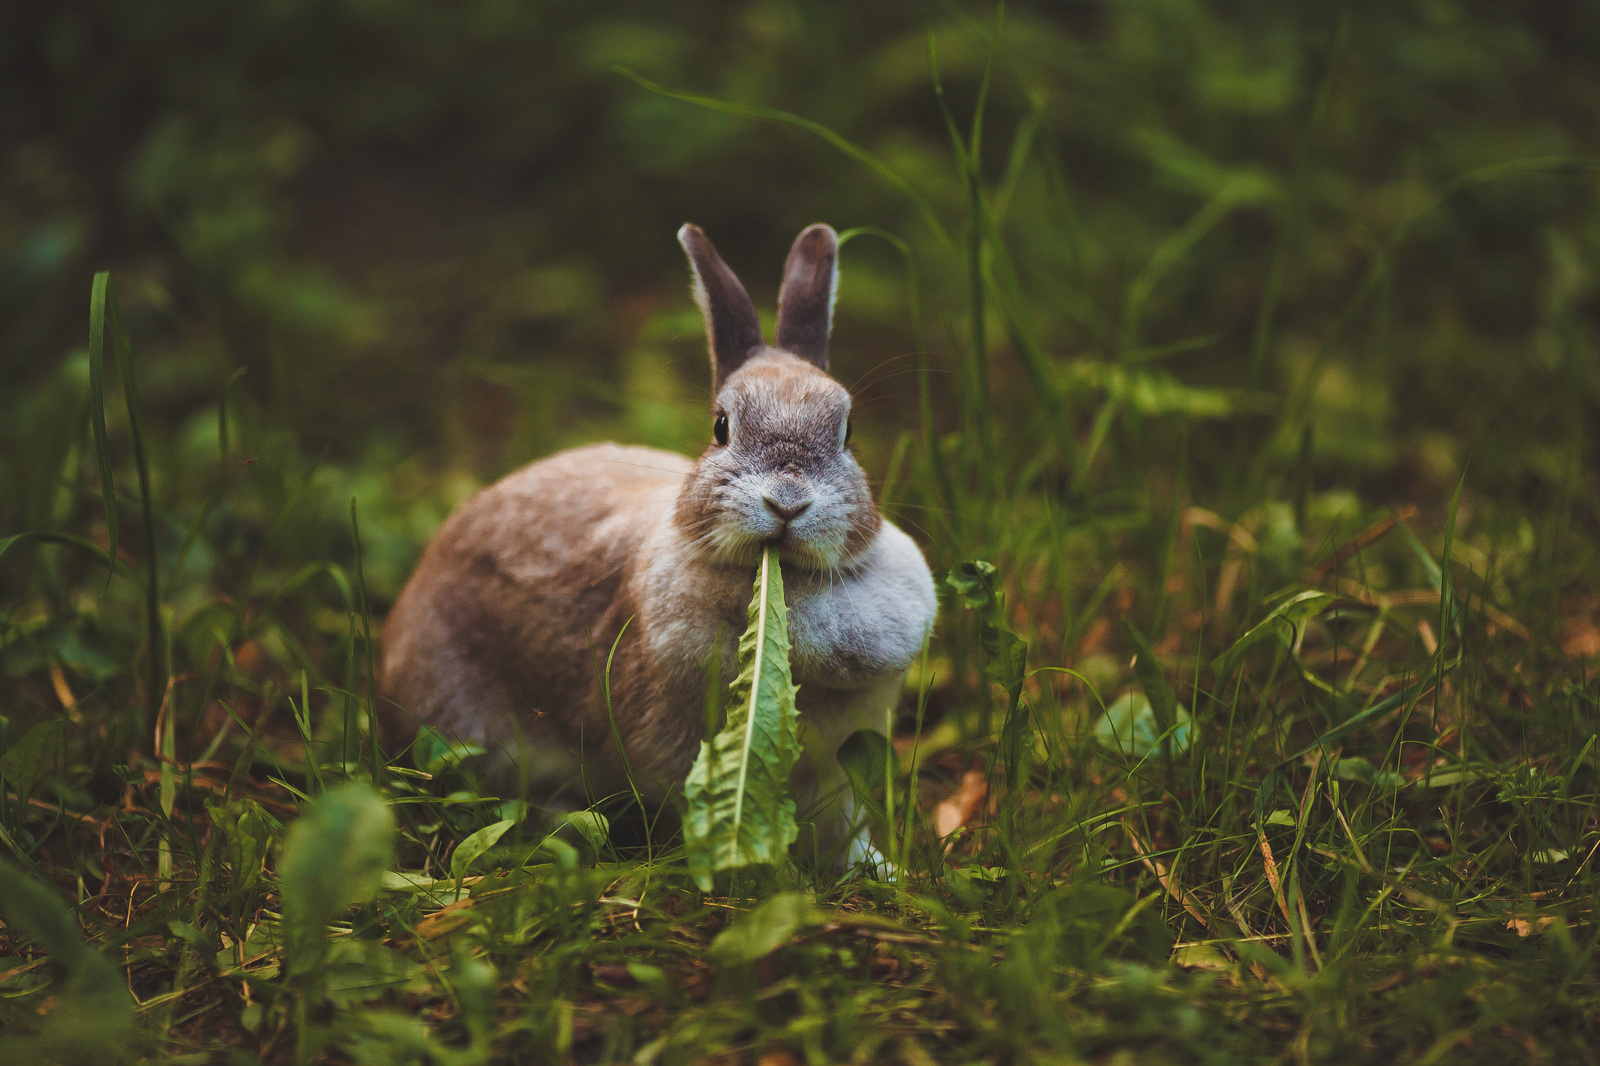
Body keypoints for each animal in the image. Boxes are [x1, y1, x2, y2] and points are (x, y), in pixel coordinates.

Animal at [380, 219, 934, 870]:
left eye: (848, 431)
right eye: (721, 427)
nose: (787, 501)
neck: (781, 579)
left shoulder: (838, 771)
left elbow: (843, 830)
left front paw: (881, 872)